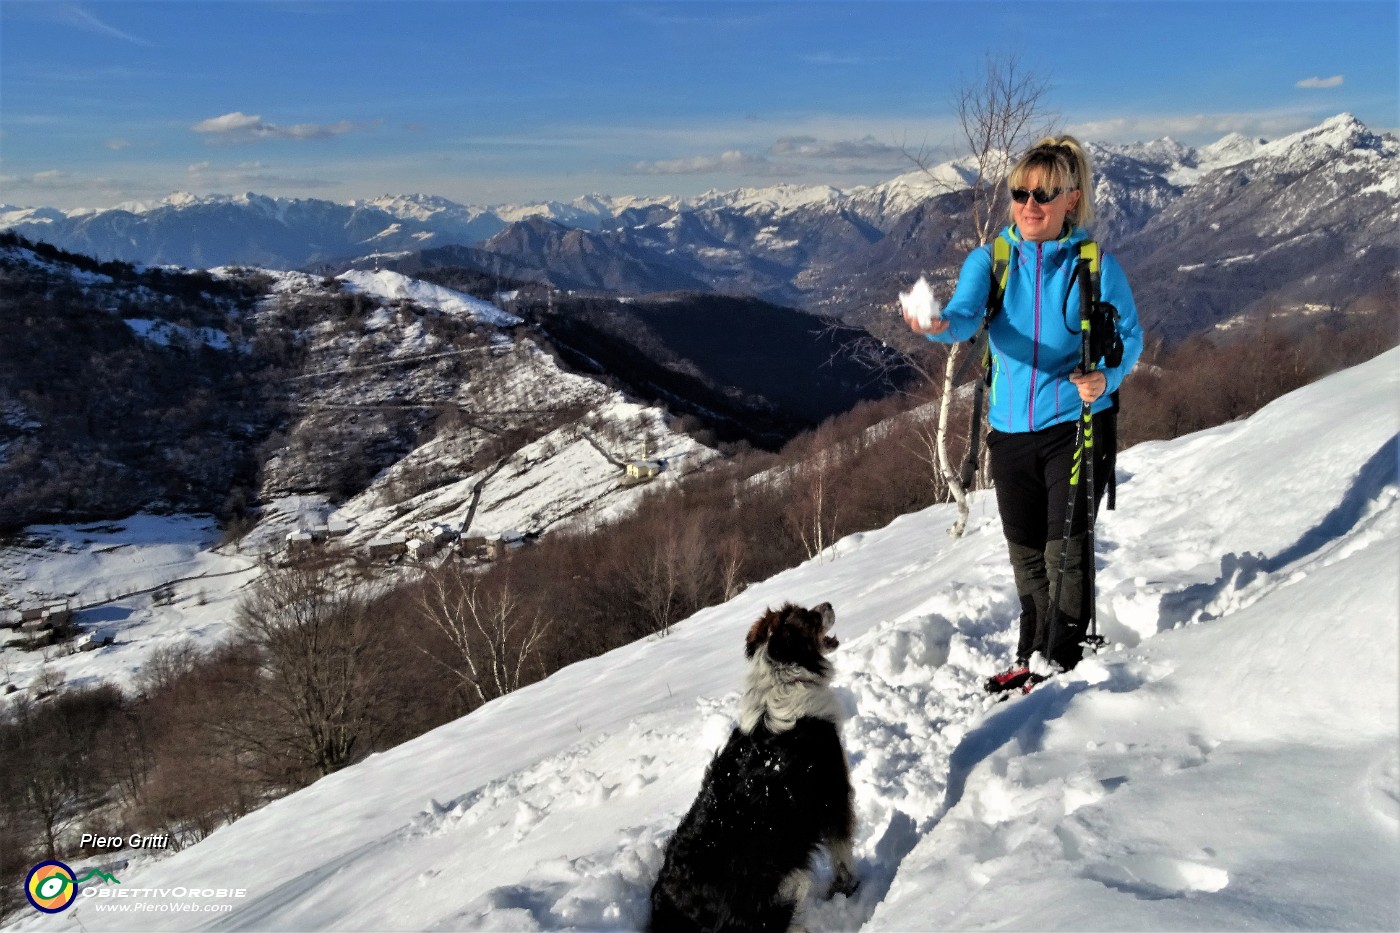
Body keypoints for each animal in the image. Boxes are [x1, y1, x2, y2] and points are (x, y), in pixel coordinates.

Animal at [649, 599, 856, 924]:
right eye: (808, 616)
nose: (828, 604)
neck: (784, 679)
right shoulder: (834, 790)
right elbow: (842, 850)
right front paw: (849, 888)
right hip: (777, 892)